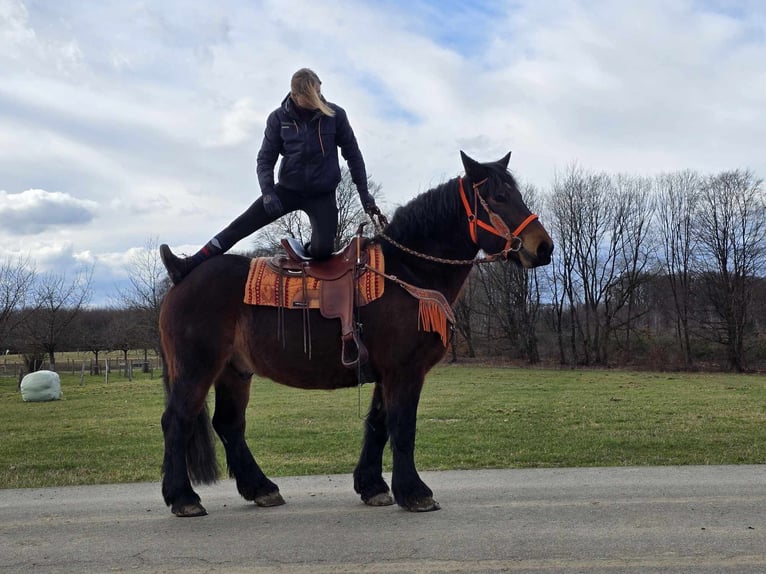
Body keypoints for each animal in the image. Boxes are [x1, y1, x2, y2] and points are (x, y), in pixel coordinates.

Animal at [159, 152, 556, 516]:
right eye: (499, 197)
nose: (544, 247)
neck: (408, 271)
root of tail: (180, 279)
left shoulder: (386, 373)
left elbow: (379, 425)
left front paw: (373, 486)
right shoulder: (404, 371)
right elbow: (402, 427)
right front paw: (414, 492)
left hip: (234, 371)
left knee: (228, 425)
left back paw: (261, 488)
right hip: (197, 368)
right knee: (177, 421)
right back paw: (183, 497)